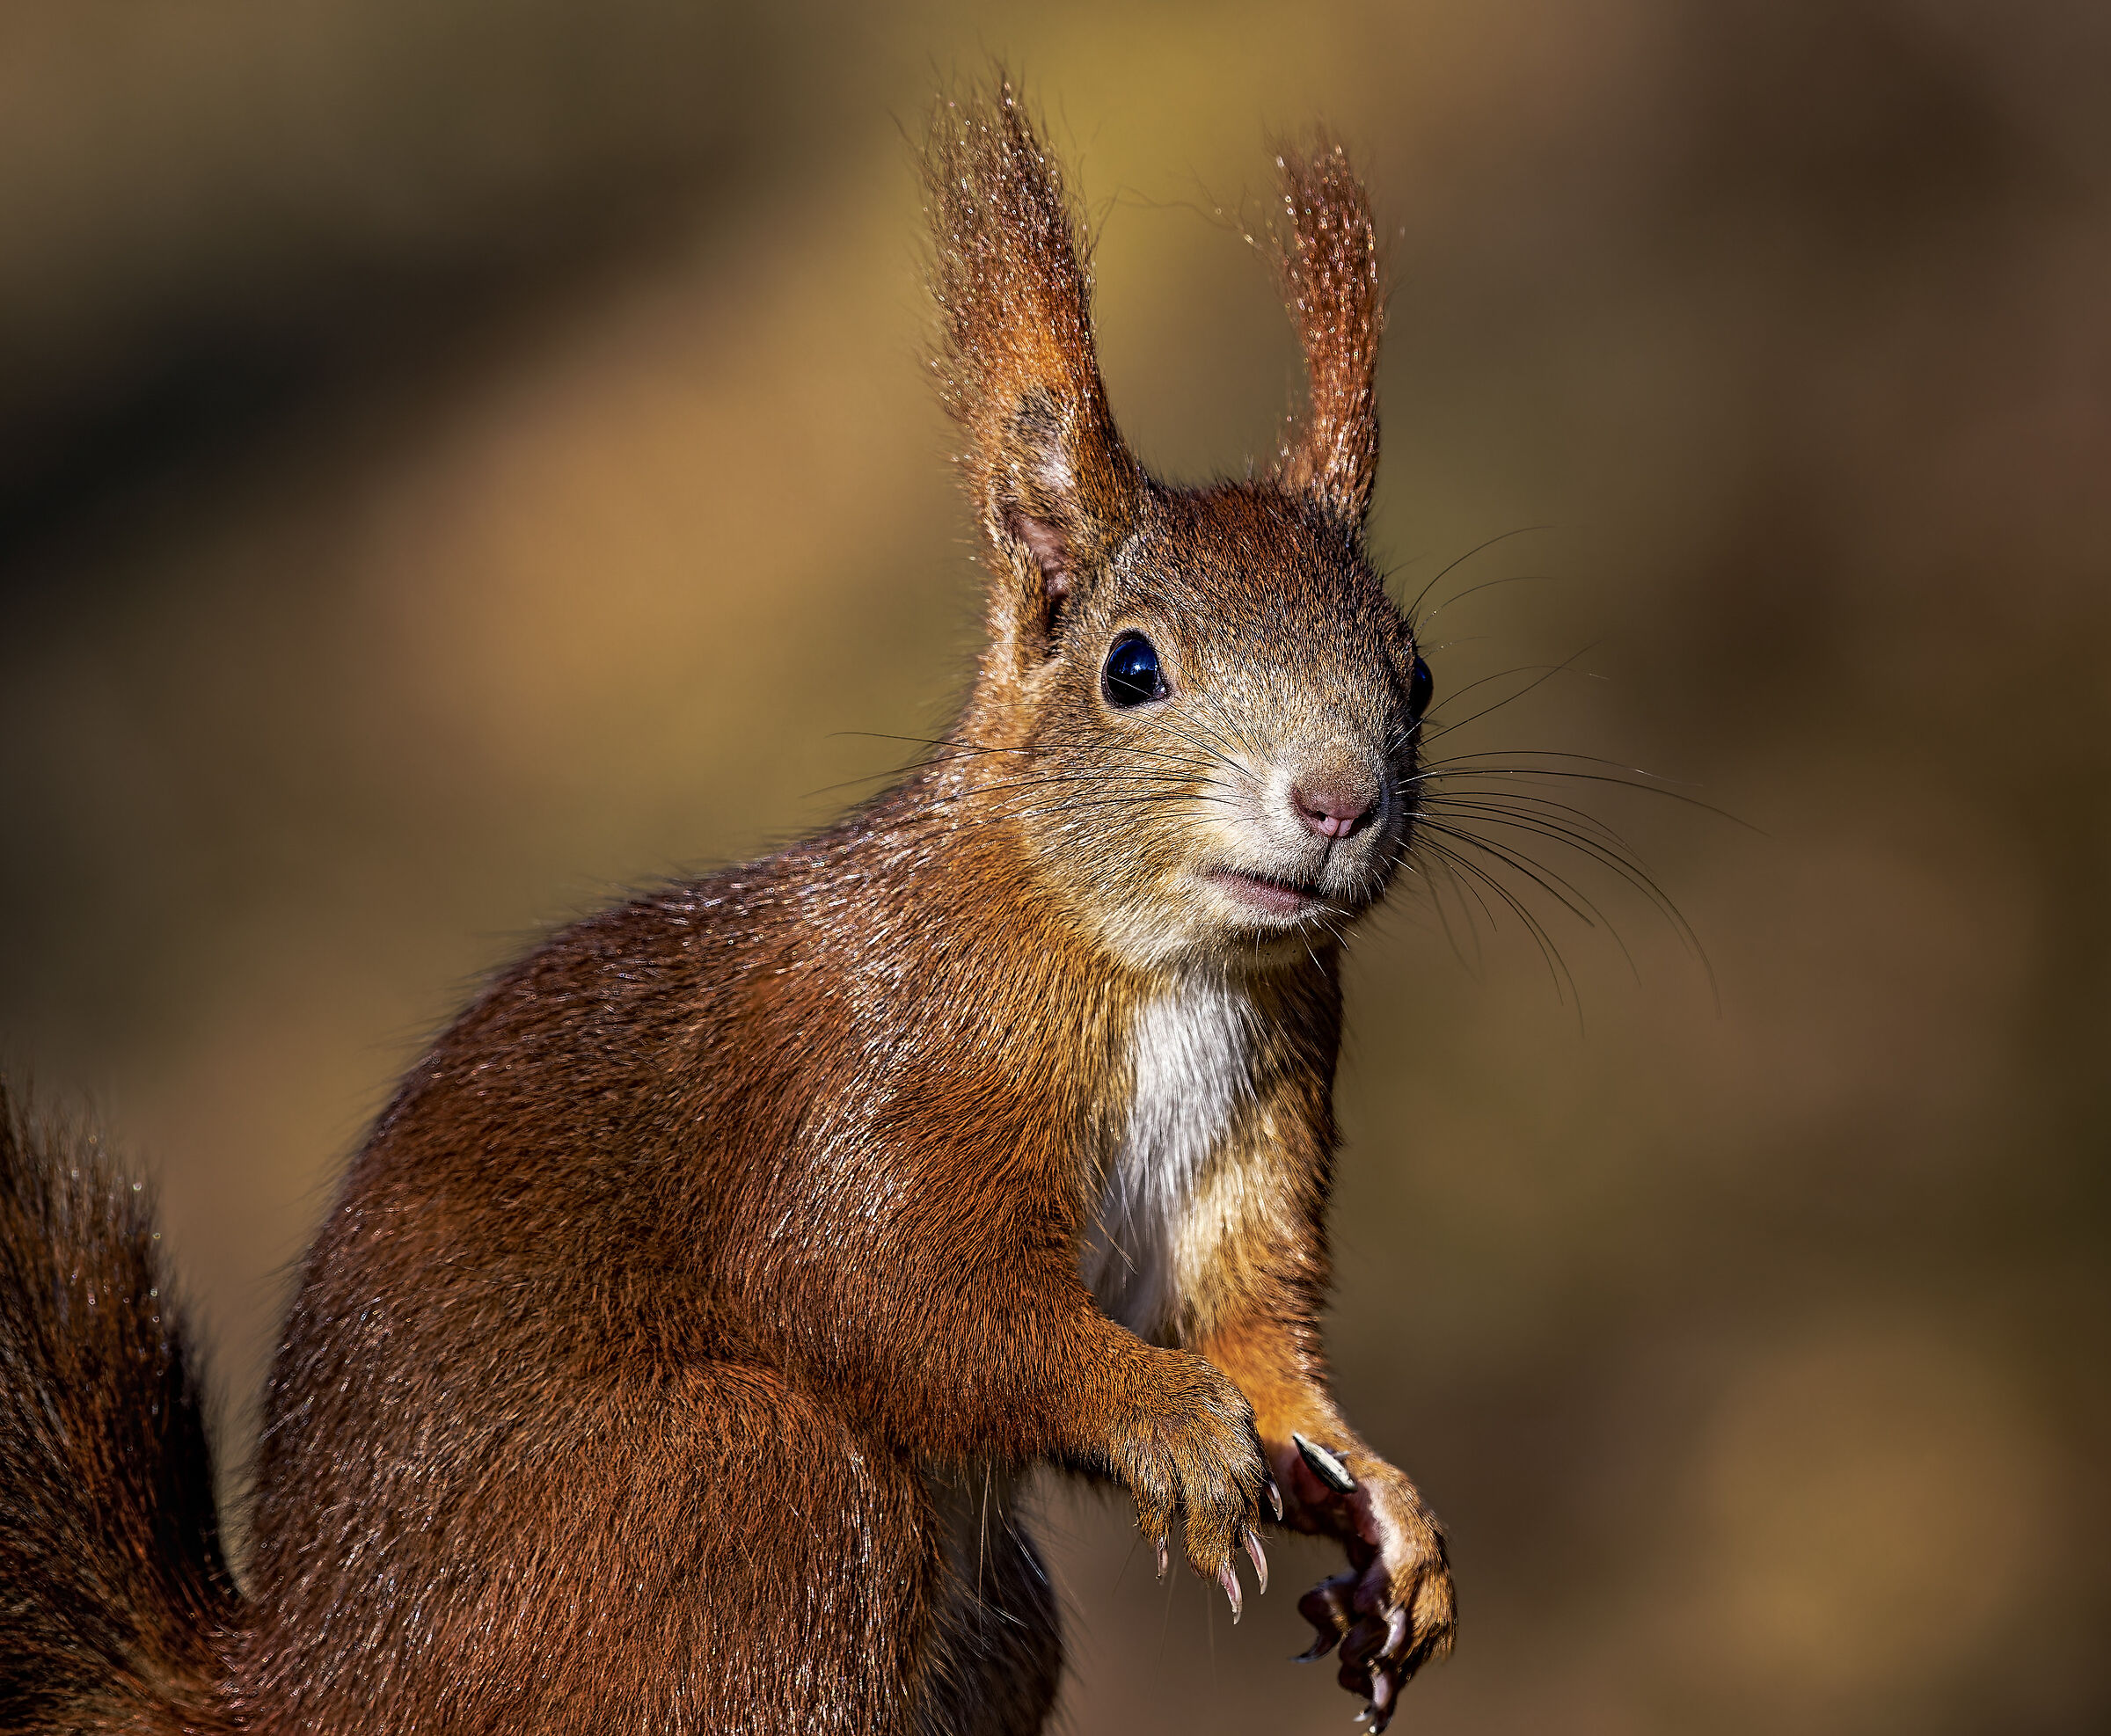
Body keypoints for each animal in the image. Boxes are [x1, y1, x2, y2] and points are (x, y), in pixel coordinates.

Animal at [0, 79, 1457, 1736]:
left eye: (1416, 673)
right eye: (1132, 666)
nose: (1337, 801)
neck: (1159, 964)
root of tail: (306, 1687)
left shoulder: (1256, 1113)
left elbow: (1254, 1339)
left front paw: (1384, 1511)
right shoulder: (878, 1072)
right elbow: (898, 1293)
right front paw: (1159, 1419)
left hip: (976, 1612)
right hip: (743, 1496)